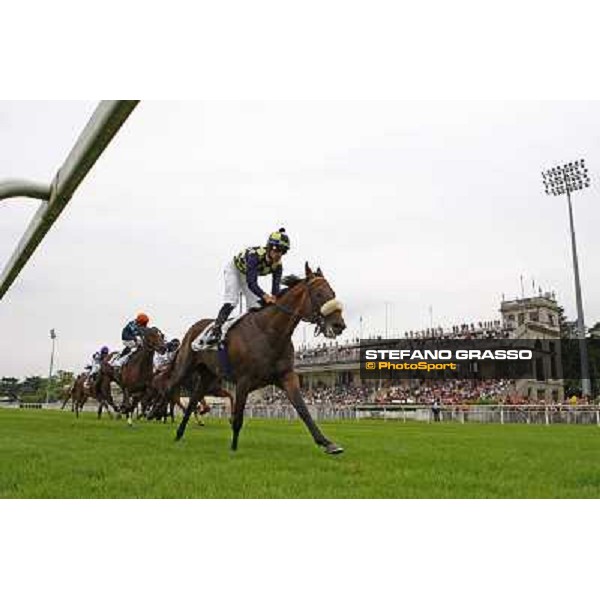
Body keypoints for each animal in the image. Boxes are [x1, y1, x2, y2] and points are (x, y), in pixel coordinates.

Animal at [169, 262, 346, 454]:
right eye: (319, 293)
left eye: (333, 293)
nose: (339, 325)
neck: (269, 333)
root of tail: (193, 328)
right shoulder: (243, 380)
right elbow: (238, 417)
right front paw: (233, 448)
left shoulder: (286, 376)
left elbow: (303, 410)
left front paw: (327, 443)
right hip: (184, 368)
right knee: (170, 388)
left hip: (208, 375)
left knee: (193, 400)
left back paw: (179, 432)